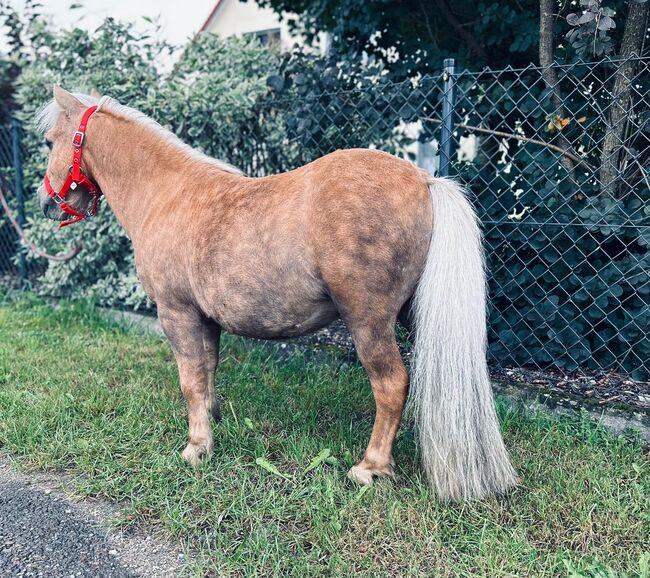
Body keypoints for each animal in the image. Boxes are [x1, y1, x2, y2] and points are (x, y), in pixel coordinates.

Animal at [36, 85, 516, 500]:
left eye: (48, 141)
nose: (45, 204)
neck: (168, 194)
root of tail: (423, 180)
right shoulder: (206, 319)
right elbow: (207, 371)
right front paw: (213, 423)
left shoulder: (176, 313)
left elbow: (190, 379)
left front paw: (196, 448)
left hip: (369, 322)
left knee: (392, 383)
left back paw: (371, 467)